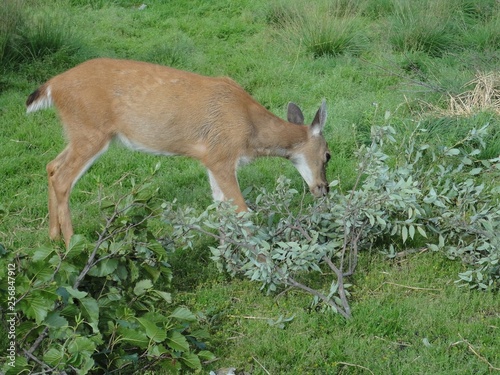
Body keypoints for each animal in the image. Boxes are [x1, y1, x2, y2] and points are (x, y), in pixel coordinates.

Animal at [27, 58, 332, 247]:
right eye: (328, 155)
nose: (323, 188)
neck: (250, 128)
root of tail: (53, 85)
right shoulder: (222, 155)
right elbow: (242, 211)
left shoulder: (210, 159)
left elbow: (221, 208)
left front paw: (227, 259)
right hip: (91, 131)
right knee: (63, 178)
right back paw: (72, 245)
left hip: (79, 133)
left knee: (51, 165)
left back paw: (53, 237)